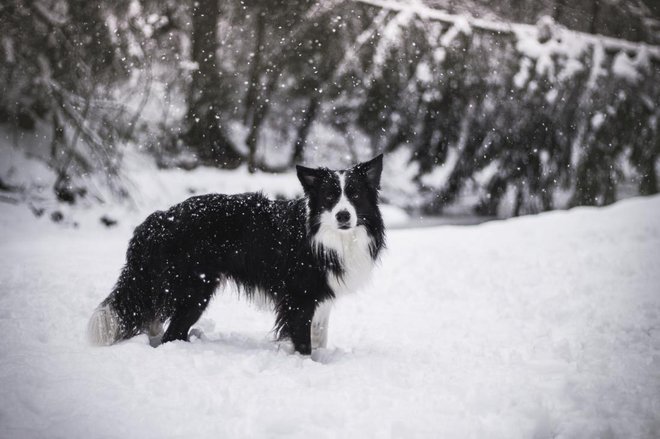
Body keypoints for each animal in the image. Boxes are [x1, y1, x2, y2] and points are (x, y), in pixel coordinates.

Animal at [88, 155, 386, 354]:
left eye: (355, 195)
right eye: (329, 198)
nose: (343, 215)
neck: (328, 236)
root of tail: (159, 219)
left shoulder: (320, 297)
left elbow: (319, 336)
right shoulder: (299, 299)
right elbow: (304, 342)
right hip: (194, 290)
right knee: (172, 334)